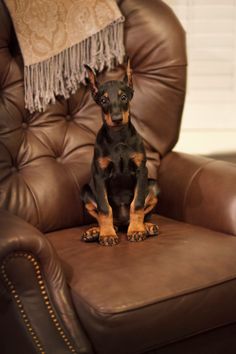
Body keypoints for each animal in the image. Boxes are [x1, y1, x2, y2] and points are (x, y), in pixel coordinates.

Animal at [81, 59, 159, 245]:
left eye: (123, 97)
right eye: (103, 100)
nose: (116, 119)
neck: (118, 138)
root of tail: (123, 223)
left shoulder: (141, 171)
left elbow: (137, 204)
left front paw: (137, 230)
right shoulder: (99, 175)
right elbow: (104, 208)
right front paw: (107, 234)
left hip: (153, 185)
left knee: (142, 212)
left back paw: (146, 226)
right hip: (86, 191)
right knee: (102, 216)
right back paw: (96, 231)